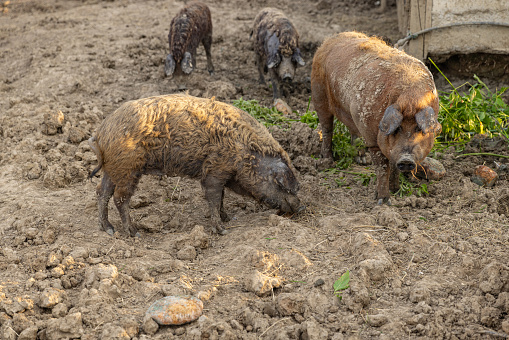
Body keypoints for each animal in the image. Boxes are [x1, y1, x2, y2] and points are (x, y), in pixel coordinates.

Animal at [88, 93, 304, 236]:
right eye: (282, 185)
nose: (300, 207)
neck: (243, 152)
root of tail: (101, 133)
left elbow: (221, 198)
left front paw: (227, 218)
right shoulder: (214, 170)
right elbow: (214, 198)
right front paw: (222, 230)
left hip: (113, 169)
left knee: (101, 192)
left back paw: (108, 229)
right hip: (128, 168)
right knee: (119, 198)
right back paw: (134, 232)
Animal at [310, 31, 440, 205]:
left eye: (419, 129)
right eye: (397, 128)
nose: (406, 159)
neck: (410, 100)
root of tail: (330, 40)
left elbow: (393, 165)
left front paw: (396, 190)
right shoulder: (372, 140)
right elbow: (382, 167)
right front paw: (383, 201)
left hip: (352, 114)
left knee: (354, 133)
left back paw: (362, 160)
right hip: (318, 94)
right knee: (327, 128)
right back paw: (327, 160)